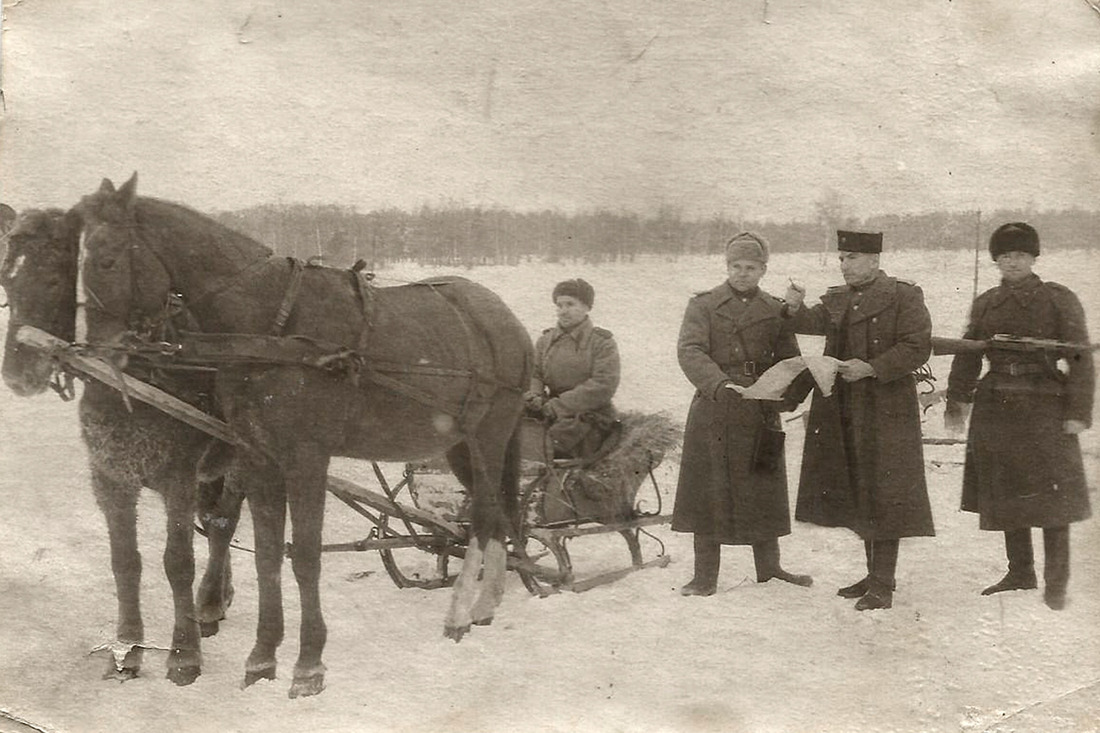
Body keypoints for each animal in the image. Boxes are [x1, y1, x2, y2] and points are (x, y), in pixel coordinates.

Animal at [0, 206, 242, 686]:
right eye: (5, 282)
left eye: (53, 280)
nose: (17, 375)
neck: (132, 378)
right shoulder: (111, 479)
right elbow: (124, 561)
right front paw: (127, 650)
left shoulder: (178, 480)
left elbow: (177, 562)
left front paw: (184, 654)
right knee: (215, 522)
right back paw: (218, 595)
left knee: (224, 524)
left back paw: (207, 603)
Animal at [76, 172, 532, 695]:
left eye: (107, 260)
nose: (99, 358)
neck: (269, 328)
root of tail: (507, 320)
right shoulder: (258, 457)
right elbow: (268, 556)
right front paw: (262, 657)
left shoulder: (307, 458)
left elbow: (306, 557)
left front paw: (308, 663)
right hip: (461, 444)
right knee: (495, 514)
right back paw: (485, 604)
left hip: (488, 438)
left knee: (483, 517)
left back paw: (461, 611)